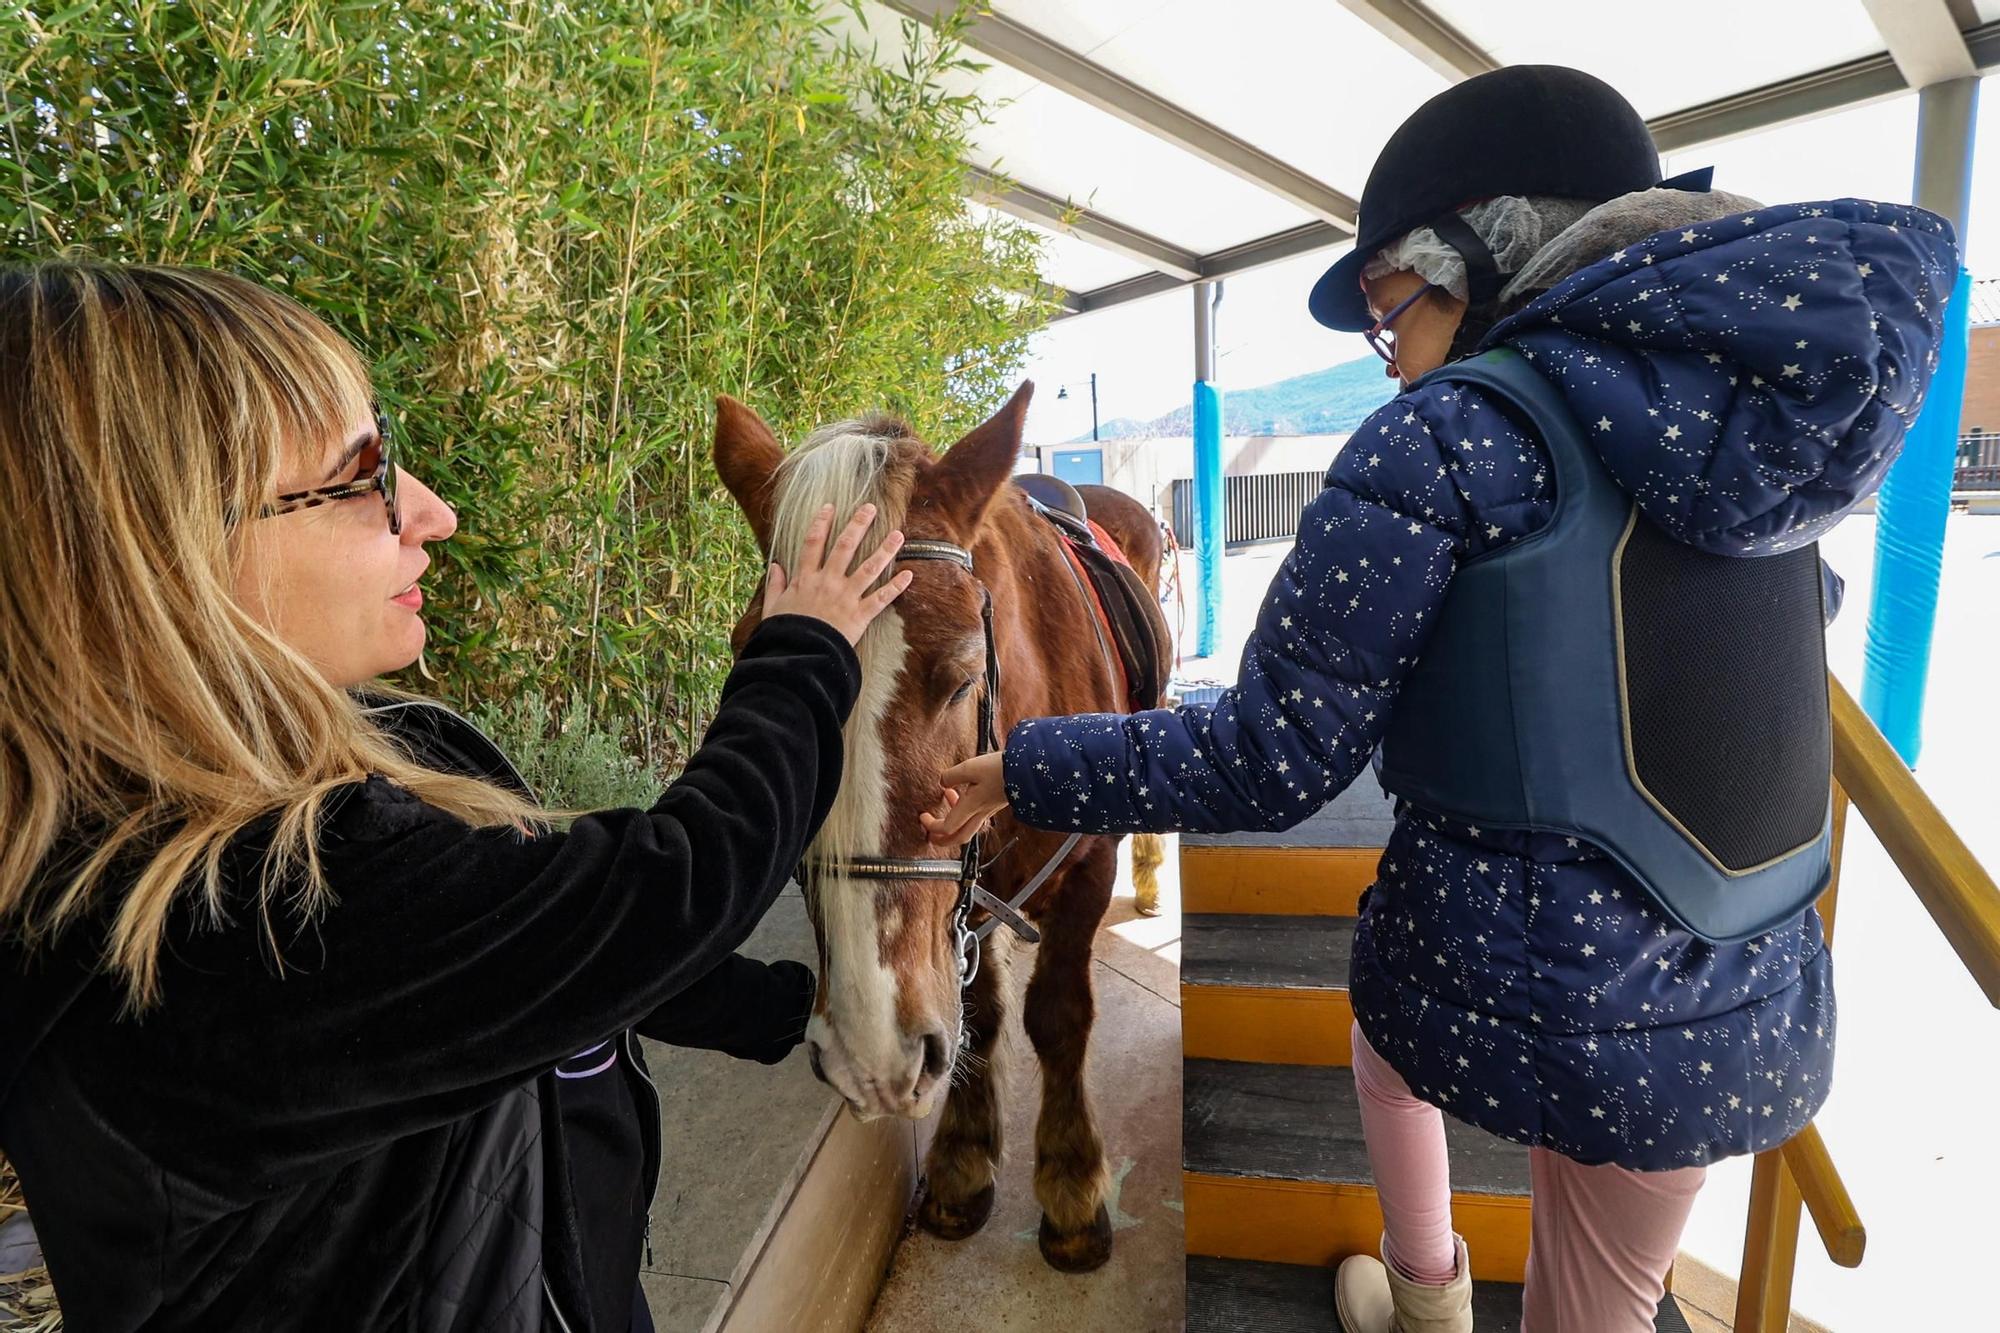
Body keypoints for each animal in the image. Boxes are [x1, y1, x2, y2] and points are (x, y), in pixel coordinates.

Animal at [712, 382, 1168, 1264]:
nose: (870, 1055)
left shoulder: (1085, 865)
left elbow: (1058, 1015)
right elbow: (978, 1017)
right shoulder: (964, 894)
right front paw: (961, 1161)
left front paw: (1070, 1182)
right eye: (756, 659)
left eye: (959, 676)